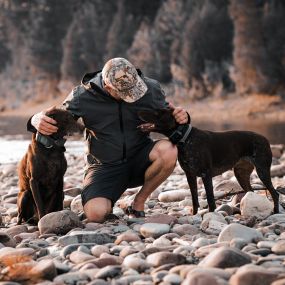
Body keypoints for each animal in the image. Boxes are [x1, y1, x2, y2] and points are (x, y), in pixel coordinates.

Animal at [138, 107, 280, 214]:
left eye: (158, 112)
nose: (138, 111)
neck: (185, 138)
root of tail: (265, 140)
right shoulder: (190, 176)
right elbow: (194, 199)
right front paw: (194, 215)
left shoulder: (206, 175)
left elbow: (211, 200)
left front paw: (210, 215)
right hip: (241, 174)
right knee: (251, 192)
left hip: (262, 171)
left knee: (275, 193)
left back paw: (276, 212)